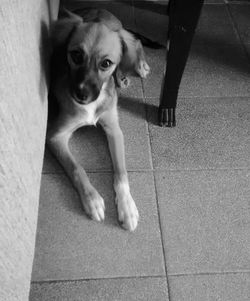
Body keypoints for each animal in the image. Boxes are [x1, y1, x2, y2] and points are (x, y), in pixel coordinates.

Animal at [47, 8, 149, 231]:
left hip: (126, 37)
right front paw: (92, 200)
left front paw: (127, 207)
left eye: (106, 63)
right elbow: (76, 168)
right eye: (76, 55)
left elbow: (121, 173)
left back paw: (136, 68)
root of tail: (102, 10)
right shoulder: (55, 137)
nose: (81, 94)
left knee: (136, 43)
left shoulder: (114, 129)